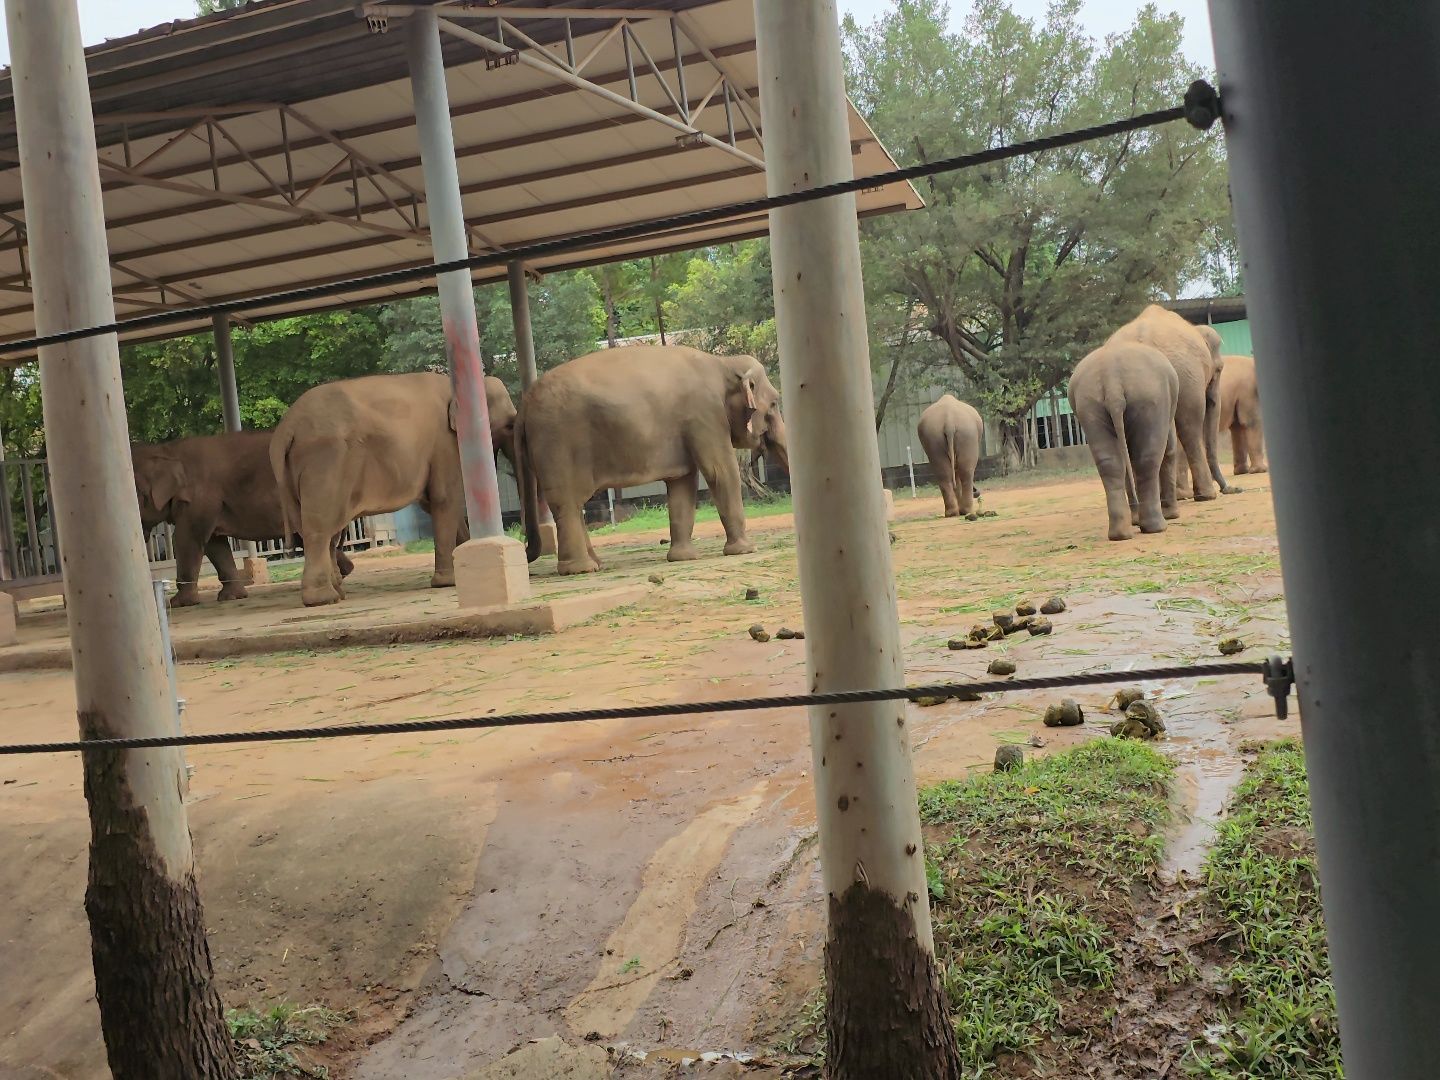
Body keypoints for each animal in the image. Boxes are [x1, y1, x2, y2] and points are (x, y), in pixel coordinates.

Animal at [131, 432, 354, 610]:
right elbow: (215, 544)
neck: (166, 449)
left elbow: (187, 539)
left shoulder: (202, 498)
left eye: (134, 492)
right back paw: (343, 577)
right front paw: (232, 597)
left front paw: (179, 604)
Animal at [270, 371, 518, 610]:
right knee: (320, 529)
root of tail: (286, 428)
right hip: (325, 460)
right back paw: (323, 599)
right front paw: (449, 582)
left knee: (325, 530)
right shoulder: (444, 443)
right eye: (508, 424)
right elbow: (444, 499)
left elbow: (438, 504)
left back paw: (337, 594)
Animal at [515, 351, 789, 578]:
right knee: (567, 501)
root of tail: (524, 405)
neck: (724, 362)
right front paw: (746, 550)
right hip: (557, 444)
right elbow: (720, 472)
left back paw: (595, 564)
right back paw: (580, 570)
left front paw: (683, 558)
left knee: (574, 504)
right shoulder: (706, 415)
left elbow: (683, 483)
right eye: (774, 403)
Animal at [1071, 342, 1180, 541]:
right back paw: (1157, 527)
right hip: (1151, 399)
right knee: (1148, 459)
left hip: (1088, 405)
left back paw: (1120, 534)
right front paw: (1172, 515)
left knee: (1110, 462)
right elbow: (1168, 448)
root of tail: (1112, 379)